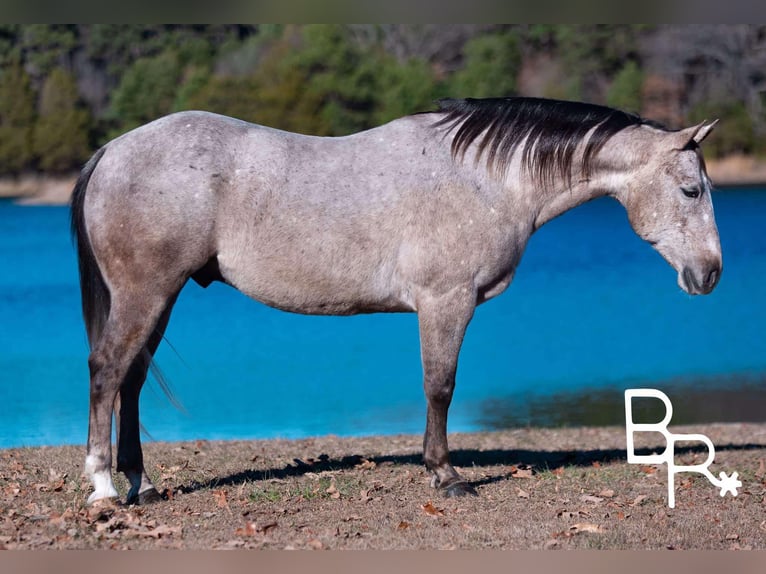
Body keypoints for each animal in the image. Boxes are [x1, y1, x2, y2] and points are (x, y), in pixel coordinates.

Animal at [71, 97, 721, 505]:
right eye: (691, 190)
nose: (711, 274)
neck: (483, 178)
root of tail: (113, 150)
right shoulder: (446, 302)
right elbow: (440, 386)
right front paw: (446, 475)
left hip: (161, 296)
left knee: (130, 379)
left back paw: (142, 484)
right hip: (146, 292)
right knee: (106, 371)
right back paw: (103, 486)